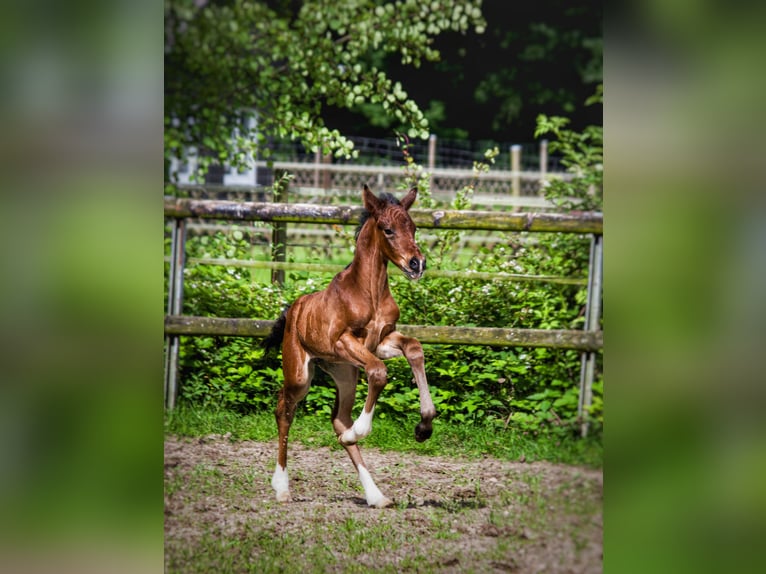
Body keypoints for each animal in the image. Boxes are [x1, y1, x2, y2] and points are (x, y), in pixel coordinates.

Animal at [266, 184, 436, 508]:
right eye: (387, 229)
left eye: (413, 228)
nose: (416, 263)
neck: (369, 292)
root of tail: (293, 308)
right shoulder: (343, 341)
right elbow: (379, 372)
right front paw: (361, 430)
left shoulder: (382, 340)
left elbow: (414, 349)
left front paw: (424, 427)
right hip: (301, 374)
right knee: (284, 408)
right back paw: (281, 488)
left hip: (344, 373)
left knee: (338, 419)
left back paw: (375, 494)